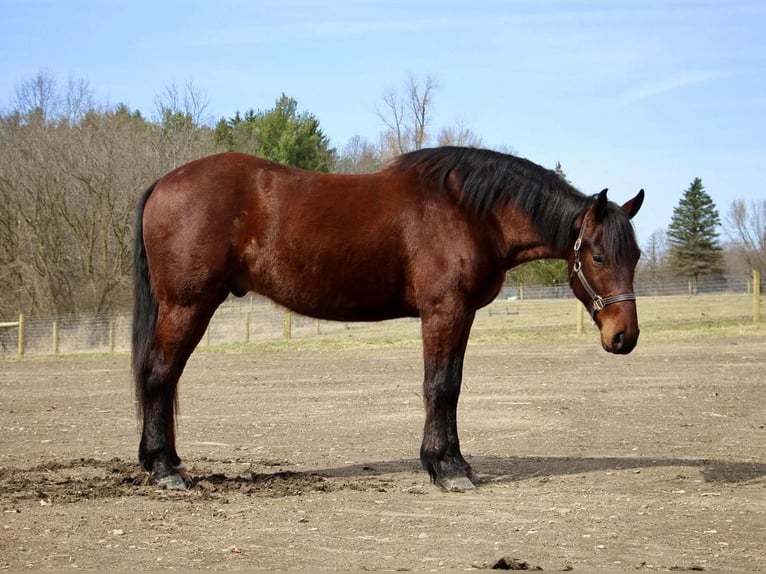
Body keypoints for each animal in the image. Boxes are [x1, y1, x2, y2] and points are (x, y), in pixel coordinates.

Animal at [134, 146, 648, 492]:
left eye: (637, 255)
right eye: (598, 257)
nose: (624, 336)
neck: (468, 210)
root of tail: (163, 183)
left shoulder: (460, 316)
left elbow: (452, 386)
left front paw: (453, 463)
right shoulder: (443, 311)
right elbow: (440, 386)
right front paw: (447, 470)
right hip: (188, 305)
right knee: (159, 375)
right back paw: (166, 470)